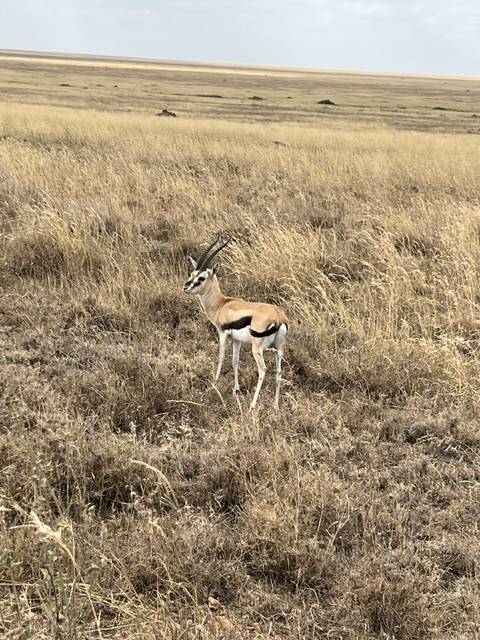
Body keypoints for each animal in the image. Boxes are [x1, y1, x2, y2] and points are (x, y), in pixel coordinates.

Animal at [183, 236, 289, 410]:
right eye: (192, 273)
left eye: (201, 278)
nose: (185, 287)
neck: (221, 304)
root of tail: (279, 317)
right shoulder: (236, 340)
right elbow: (235, 361)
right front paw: (236, 389)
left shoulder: (223, 334)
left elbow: (221, 357)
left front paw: (215, 382)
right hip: (279, 349)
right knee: (278, 373)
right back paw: (275, 406)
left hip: (257, 349)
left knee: (263, 370)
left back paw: (252, 405)